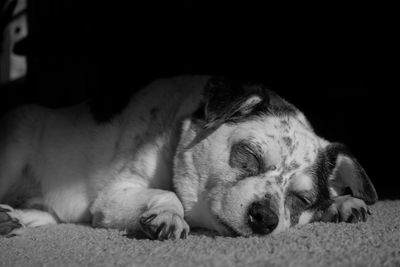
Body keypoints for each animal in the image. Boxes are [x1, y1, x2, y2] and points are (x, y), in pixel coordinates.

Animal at [0, 76, 378, 241]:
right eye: (248, 156)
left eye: (302, 199)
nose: (265, 218)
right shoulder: (115, 195)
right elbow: (169, 194)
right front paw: (169, 215)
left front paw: (341, 203)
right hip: (12, 151)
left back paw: (13, 218)